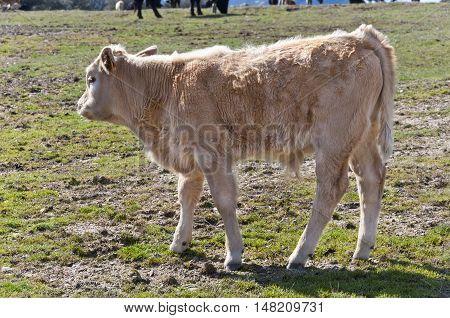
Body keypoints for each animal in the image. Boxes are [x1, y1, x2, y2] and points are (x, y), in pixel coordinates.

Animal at [79, 24, 396, 270]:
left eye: (91, 78)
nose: (79, 104)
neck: (170, 84)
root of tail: (360, 38)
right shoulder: (190, 154)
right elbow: (187, 195)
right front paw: (180, 241)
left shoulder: (213, 153)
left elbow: (224, 200)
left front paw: (233, 255)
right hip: (362, 138)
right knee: (370, 180)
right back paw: (363, 248)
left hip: (333, 142)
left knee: (331, 189)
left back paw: (299, 254)